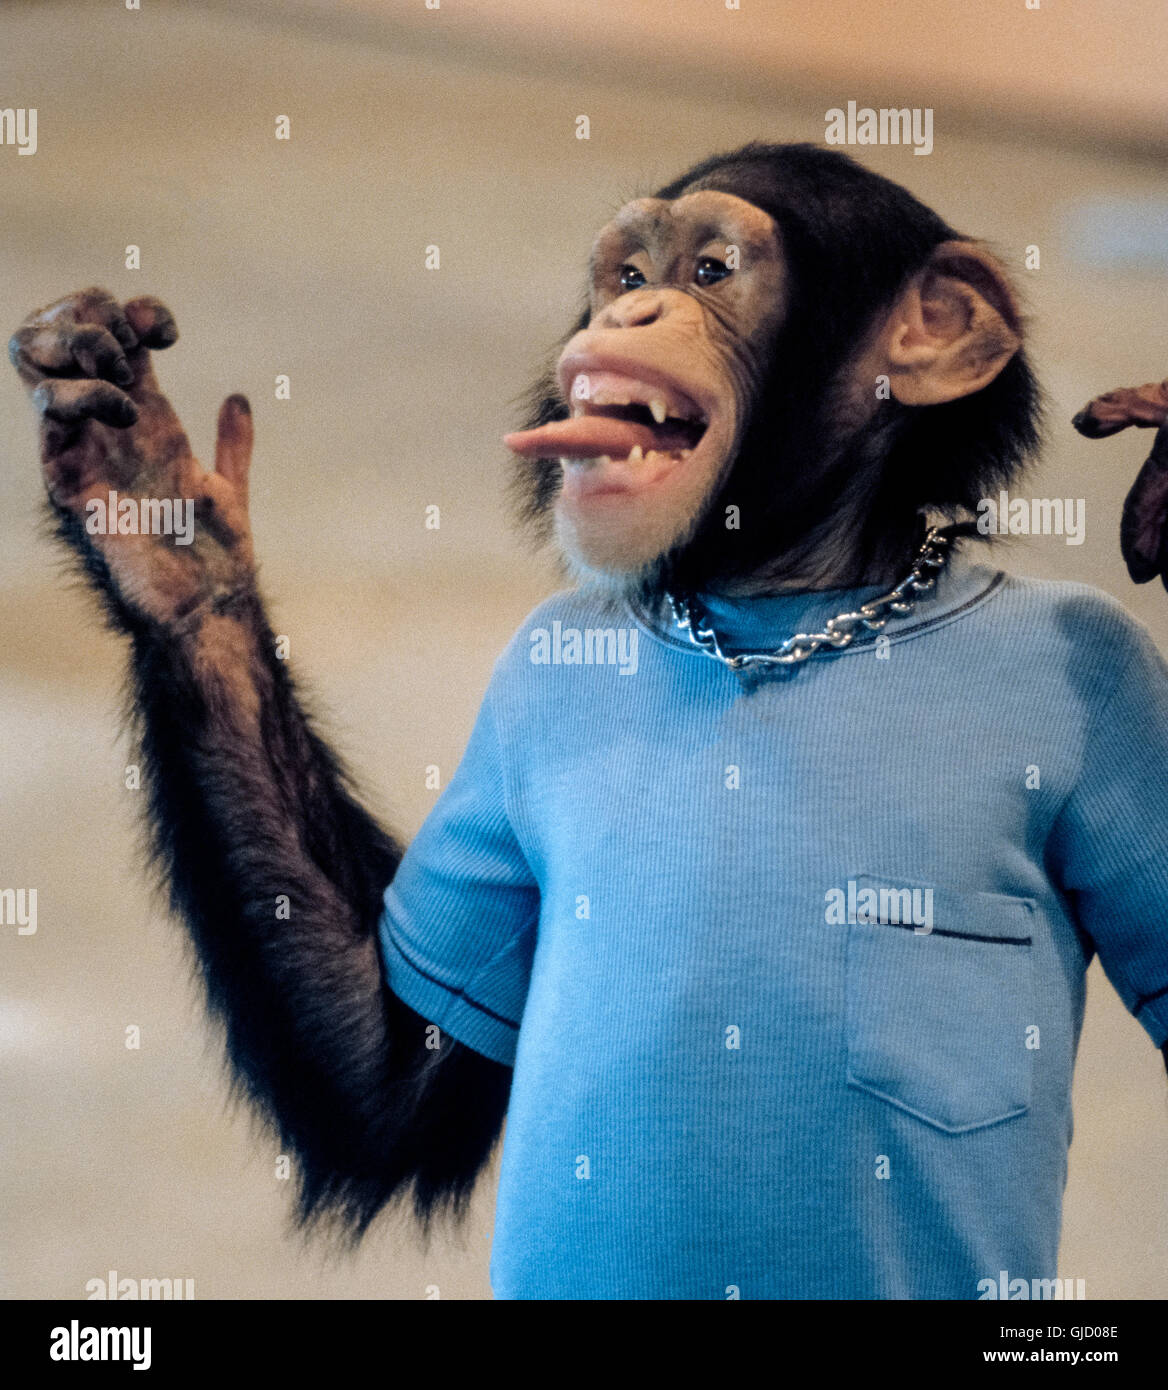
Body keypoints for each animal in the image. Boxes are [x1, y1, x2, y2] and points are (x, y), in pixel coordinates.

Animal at [10, 142, 1168, 1300]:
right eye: (628, 275)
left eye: (711, 271)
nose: (632, 314)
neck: (791, 608)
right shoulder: (517, 690)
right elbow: (392, 1072)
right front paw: (154, 510)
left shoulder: (1115, 689)